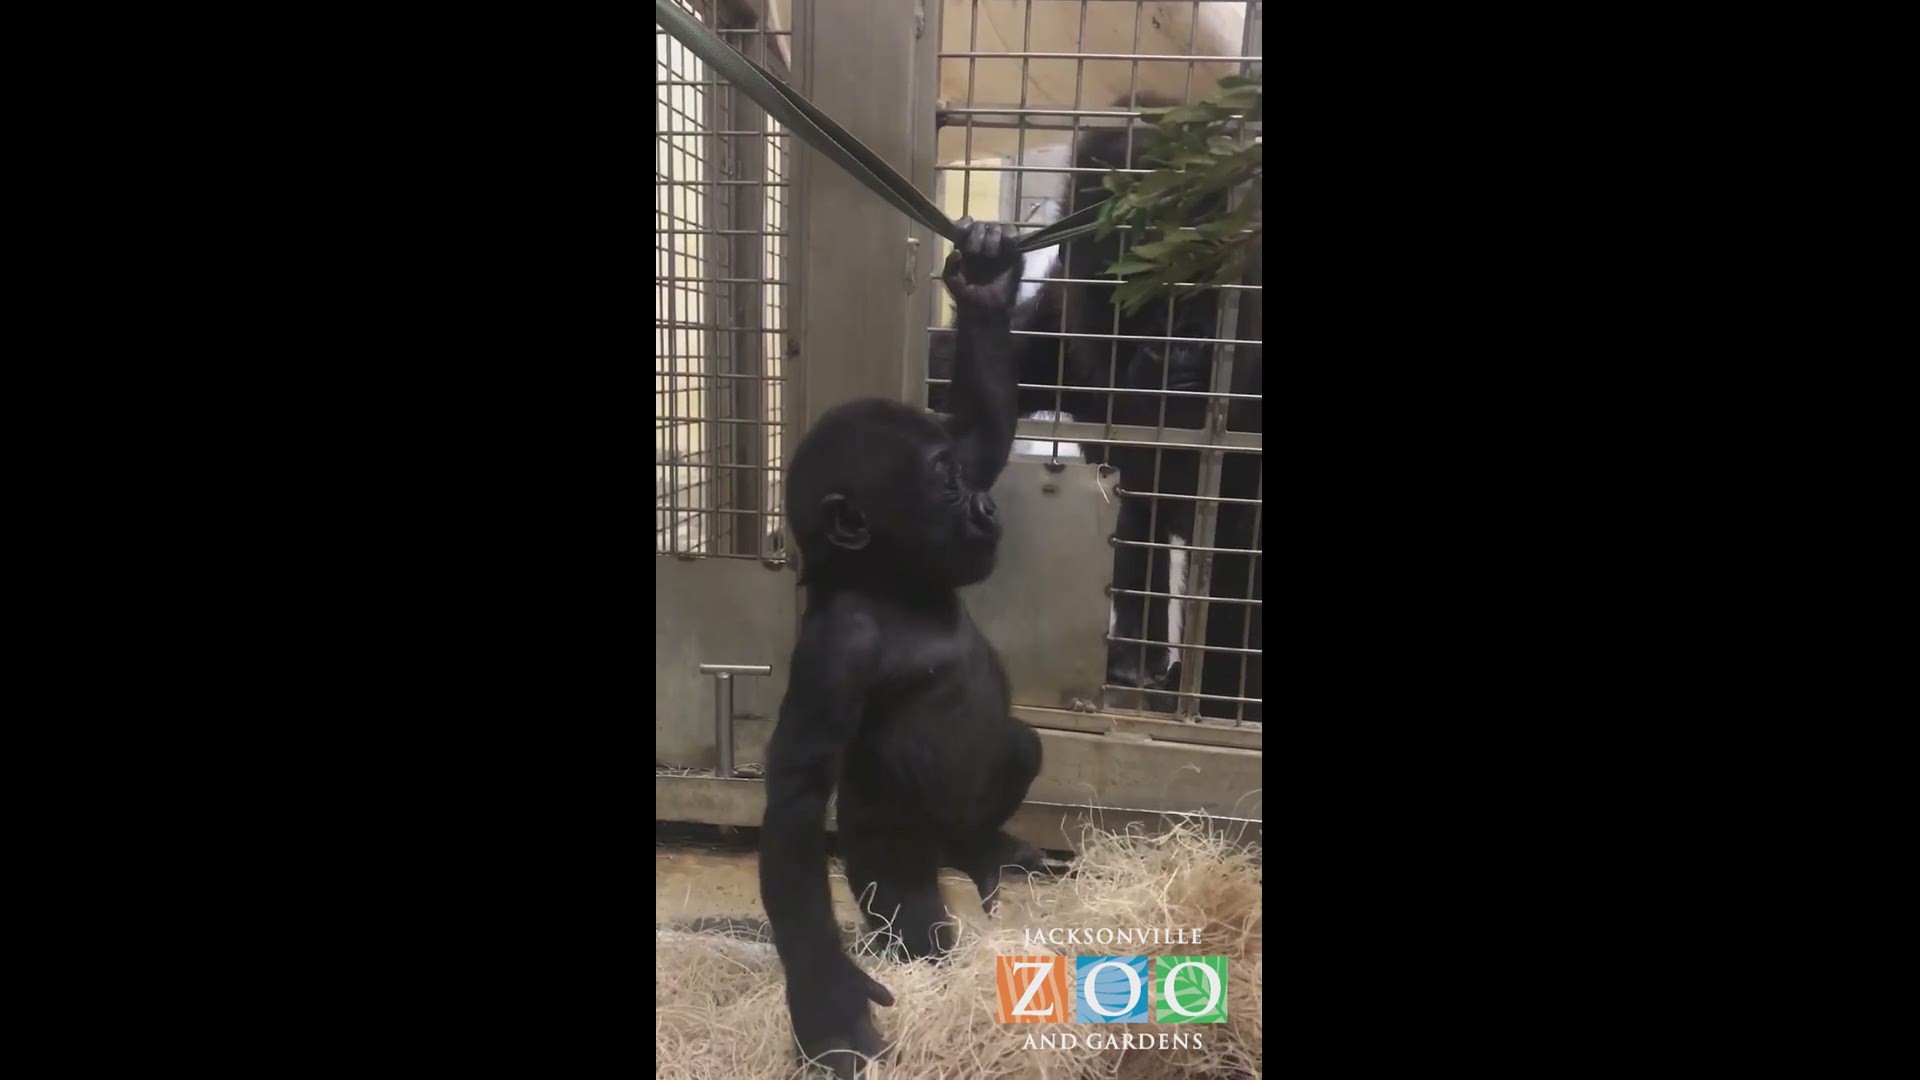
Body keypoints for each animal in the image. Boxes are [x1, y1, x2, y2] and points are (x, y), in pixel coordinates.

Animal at [756, 220, 1052, 1076]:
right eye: (944, 486)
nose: (986, 509)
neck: (893, 585)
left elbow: (986, 431)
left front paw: (984, 279)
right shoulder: (835, 650)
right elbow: (796, 796)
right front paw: (827, 1005)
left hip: (968, 816)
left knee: (1018, 748)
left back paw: (988, 848)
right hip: (887, 855)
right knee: (915, 916)